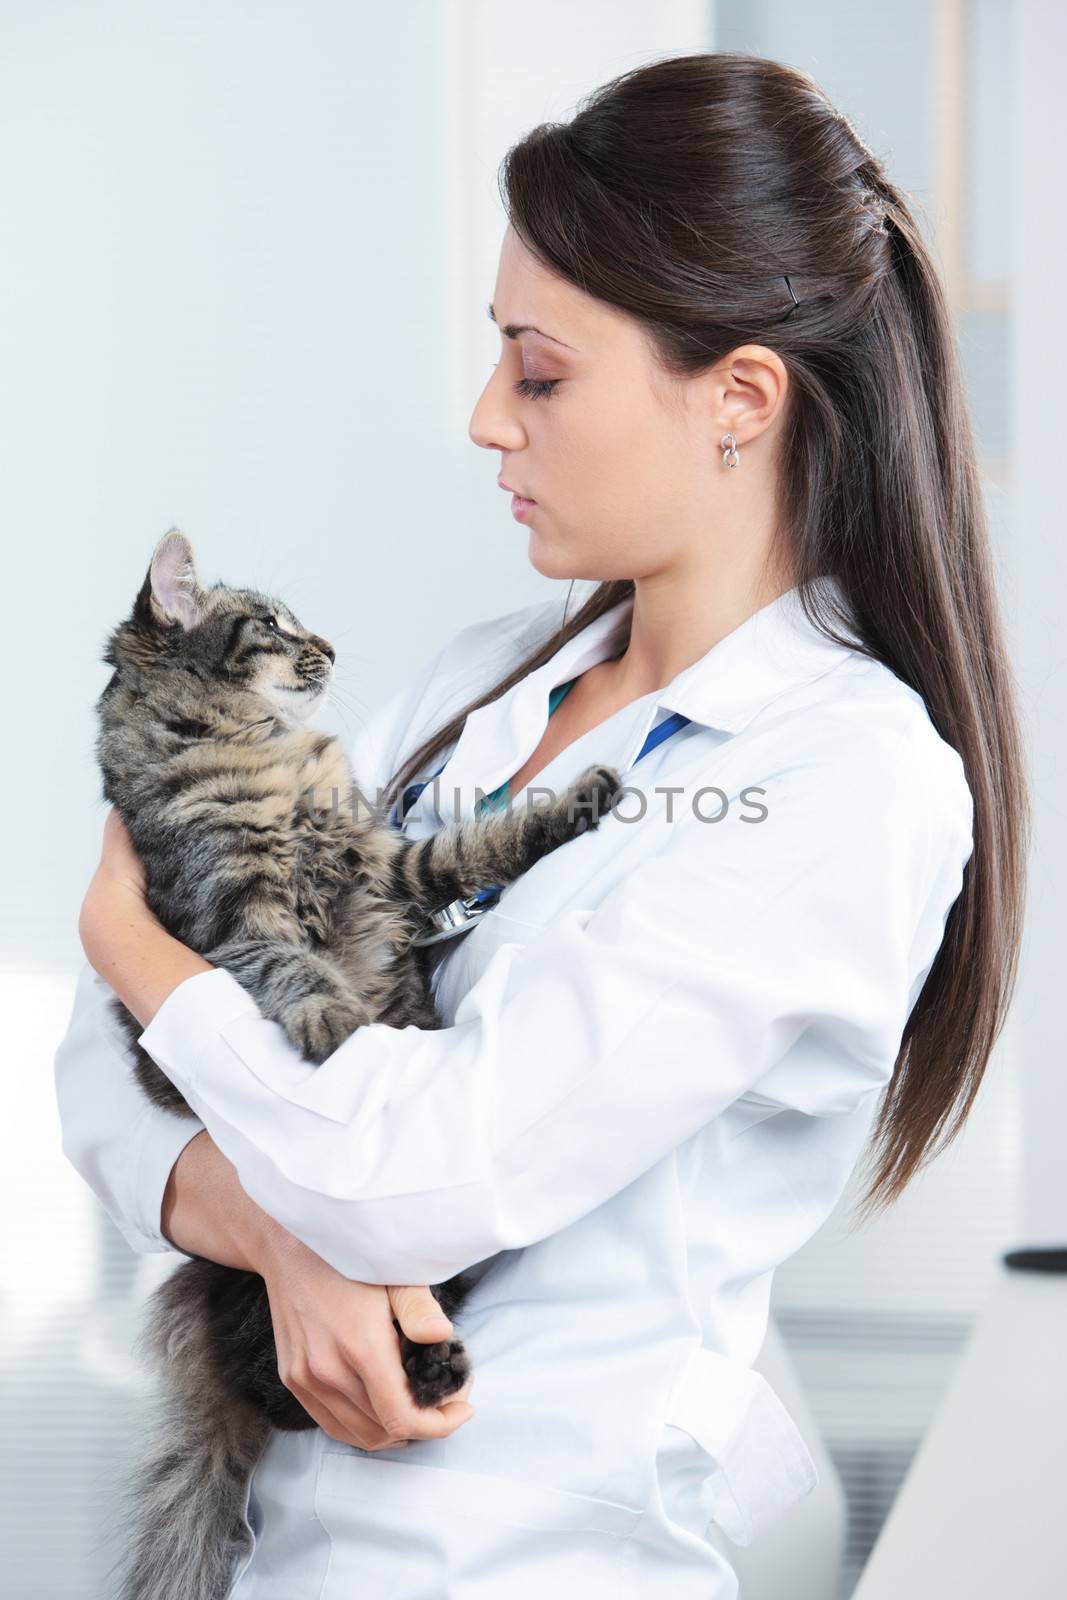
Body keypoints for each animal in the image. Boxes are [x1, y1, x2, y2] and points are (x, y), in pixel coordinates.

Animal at [94, 534, 620, 1600]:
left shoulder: (387, 863)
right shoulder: (231, 918)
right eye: (272, 624)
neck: (264, 751)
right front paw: (342, 1025)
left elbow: (481, 842)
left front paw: (583, 799)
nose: (329, 646)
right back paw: (425, 1377)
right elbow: (295, 969)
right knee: (288, 1394)